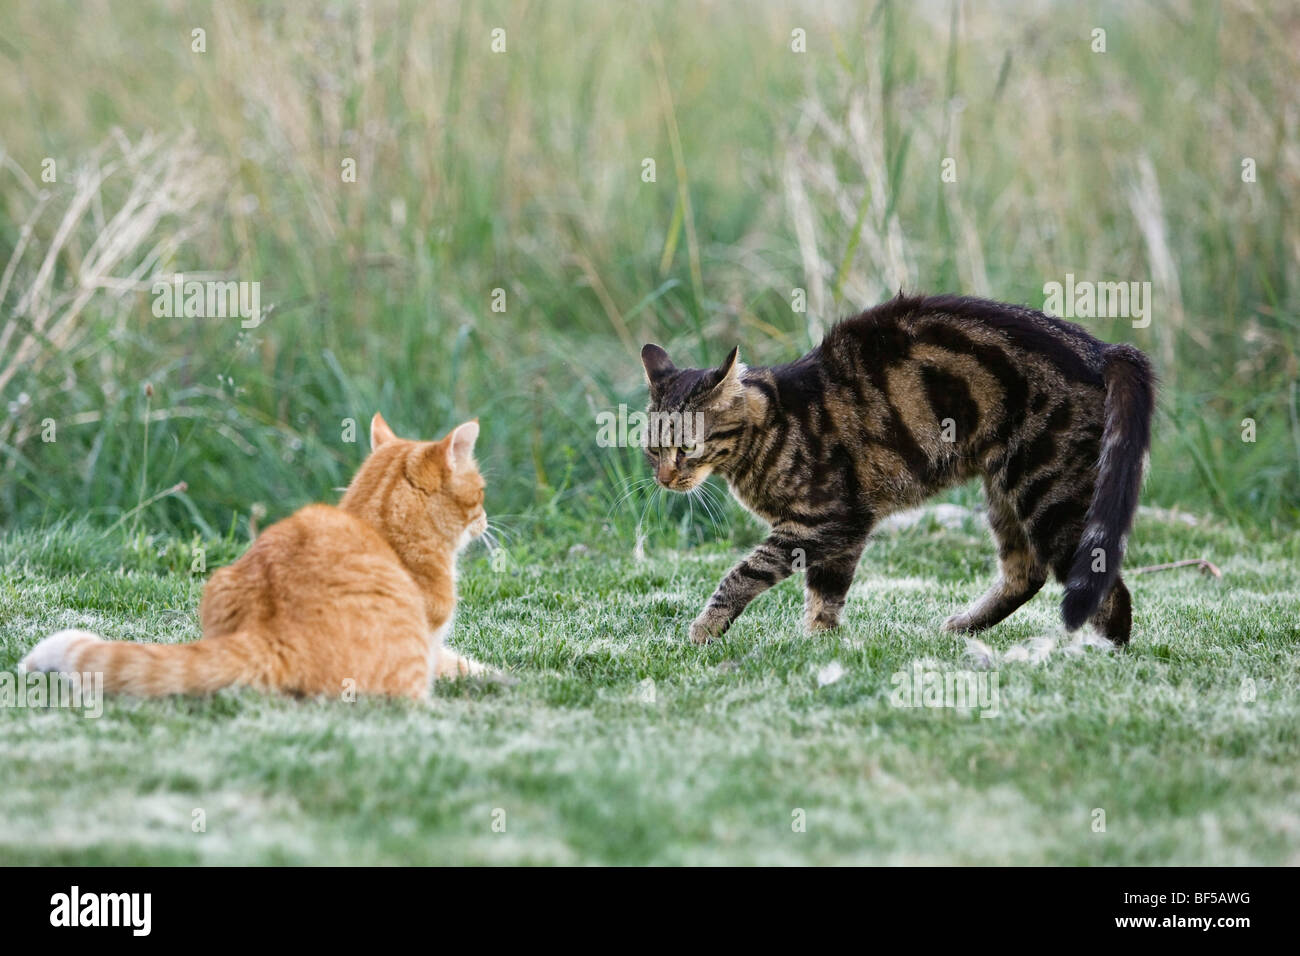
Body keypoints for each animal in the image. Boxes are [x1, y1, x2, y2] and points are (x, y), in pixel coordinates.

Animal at [22, 416, 488, 697]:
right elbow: (463, 663)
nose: (486, 519)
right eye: (482, 492)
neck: (380, 524)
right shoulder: (431, 644)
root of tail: (275, 632)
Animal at [642, 293, 1159, 650]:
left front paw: (704, 629)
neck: (772, 426)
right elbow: (826, 594)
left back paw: (1101, 652)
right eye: (652, 449)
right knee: (1025, 573)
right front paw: (820, 643)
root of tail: (1103, 348)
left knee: (1107, 589)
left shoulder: (826, 521)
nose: (664, 479)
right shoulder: (845, 532)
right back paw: (962, 626)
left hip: (1047, 492)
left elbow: (743, 573)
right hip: (1004, 490)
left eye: (686, 447)